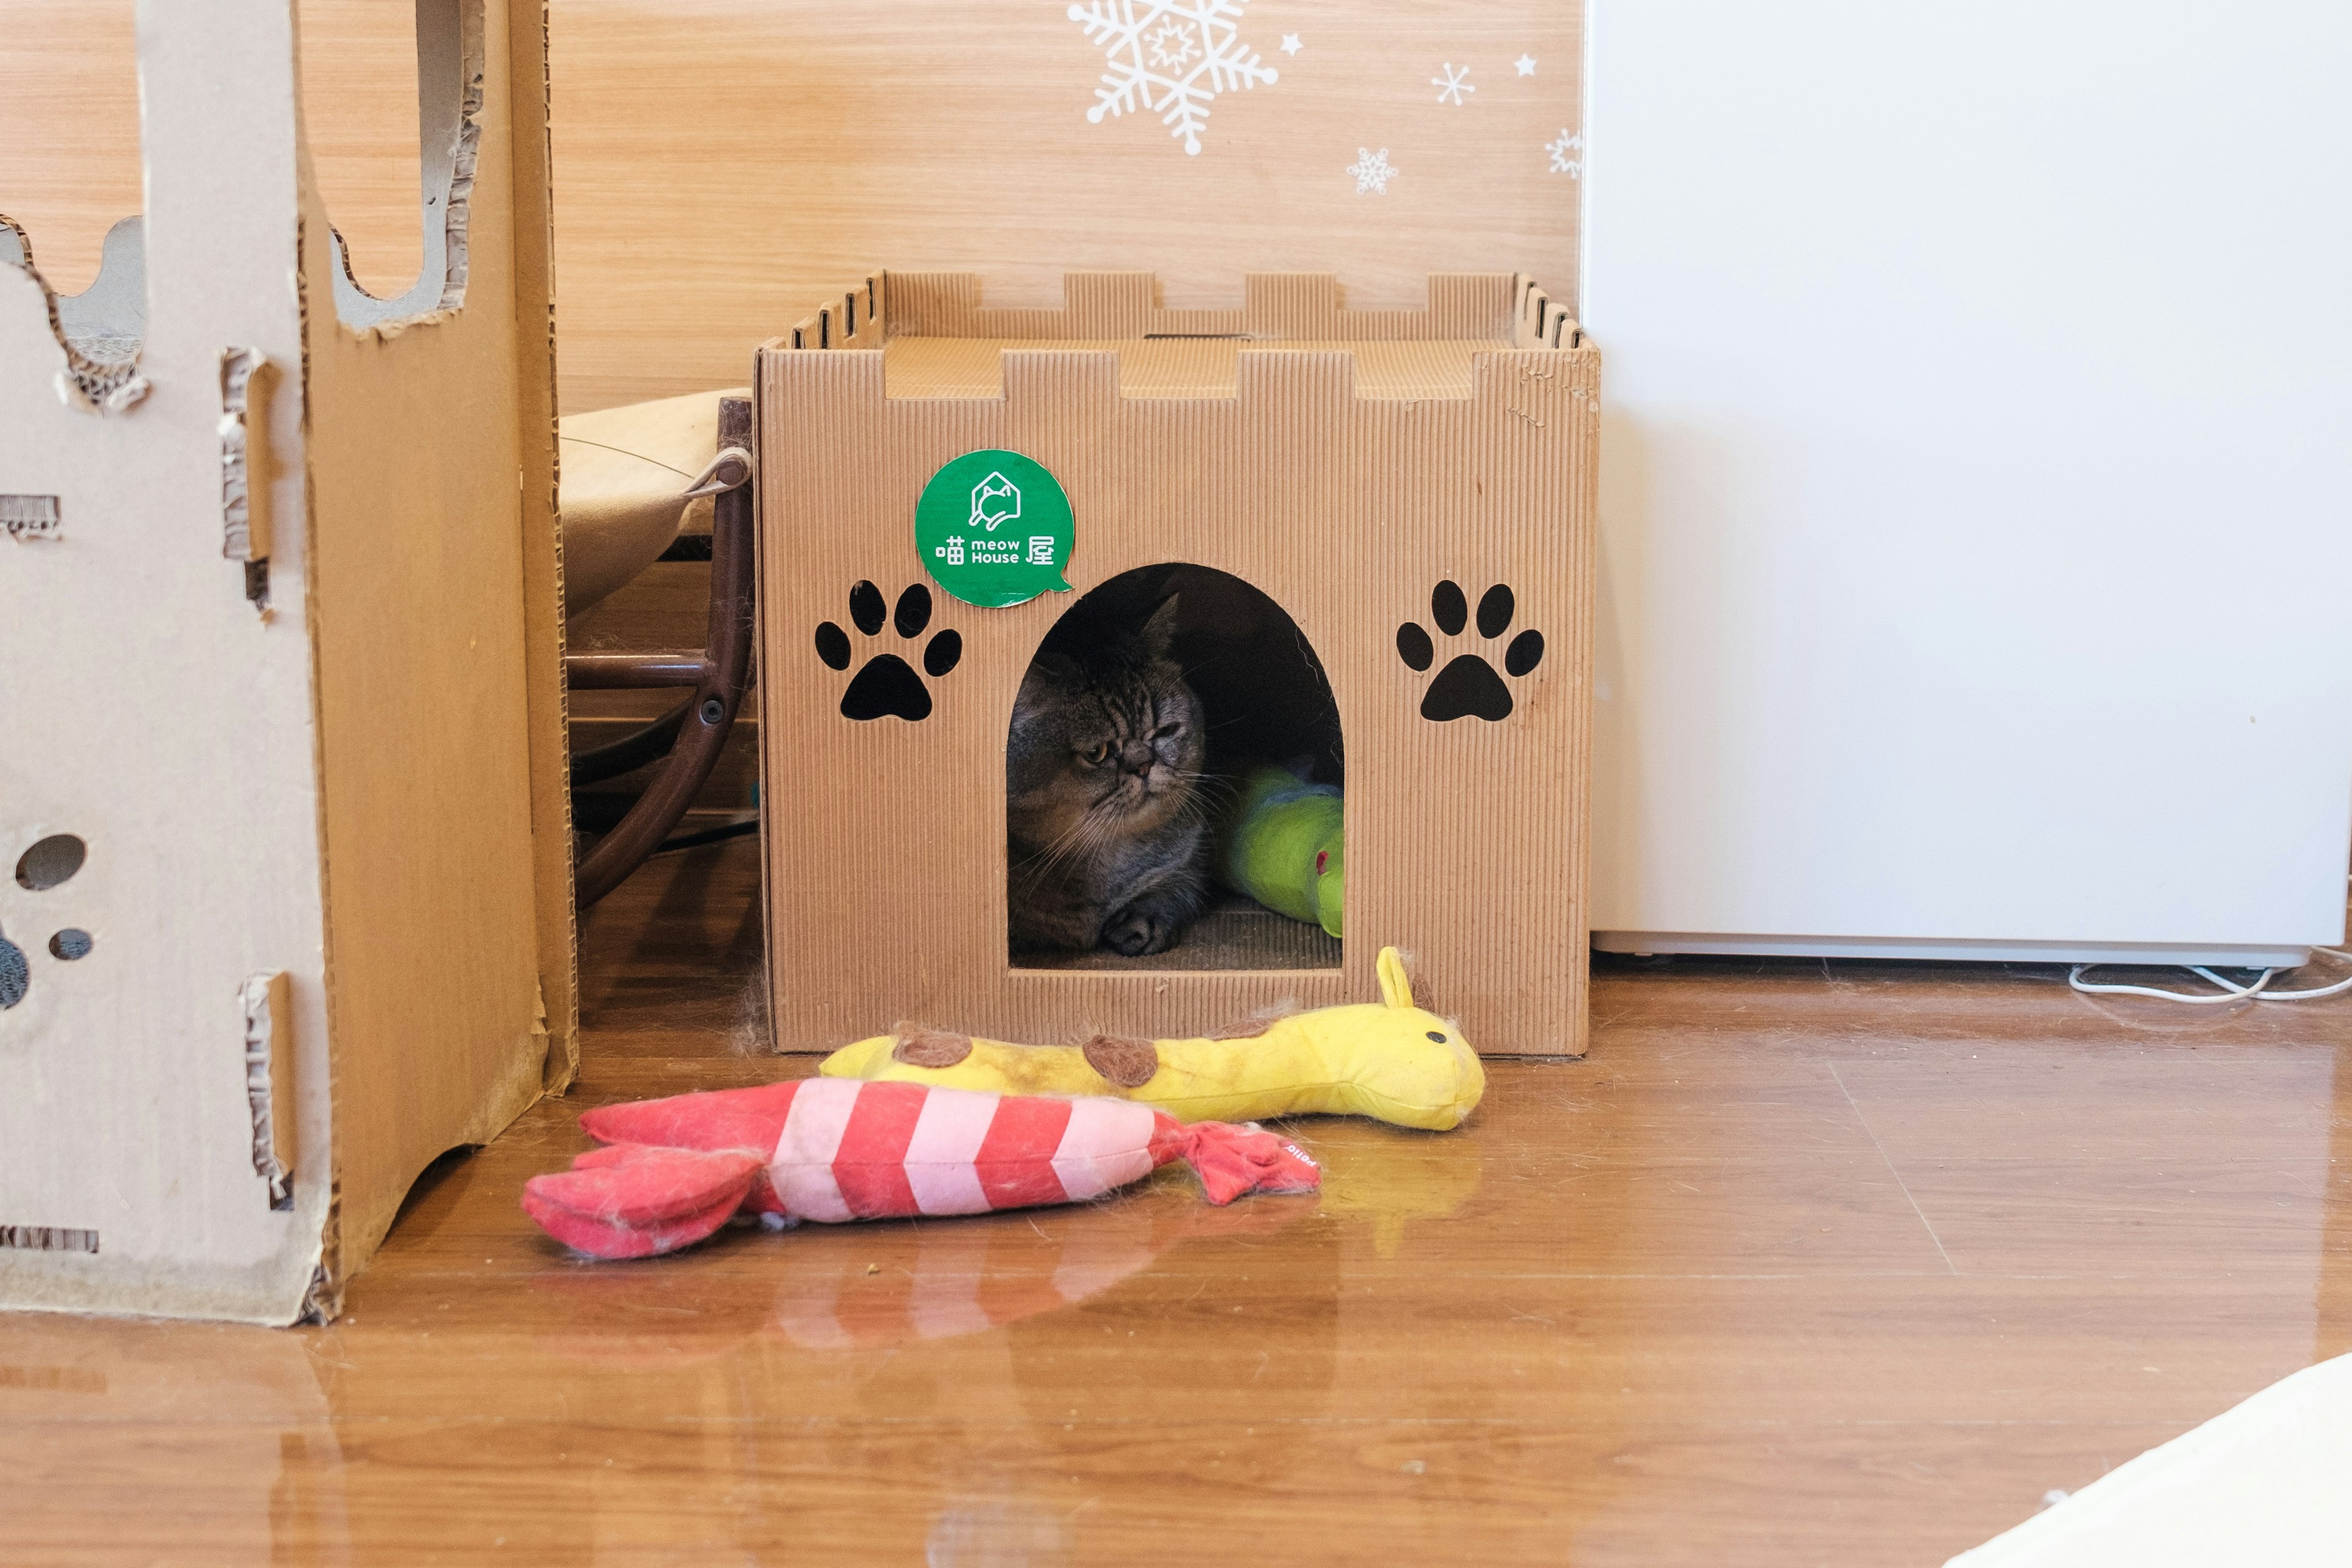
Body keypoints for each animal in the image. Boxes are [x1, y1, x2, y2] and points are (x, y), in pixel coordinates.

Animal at [1001, 597, 1213, 959]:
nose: (1144, 765)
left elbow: (1174, 888)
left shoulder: (1190, 864)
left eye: (1166, 731)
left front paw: (1141, 923)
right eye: (1096, 753)